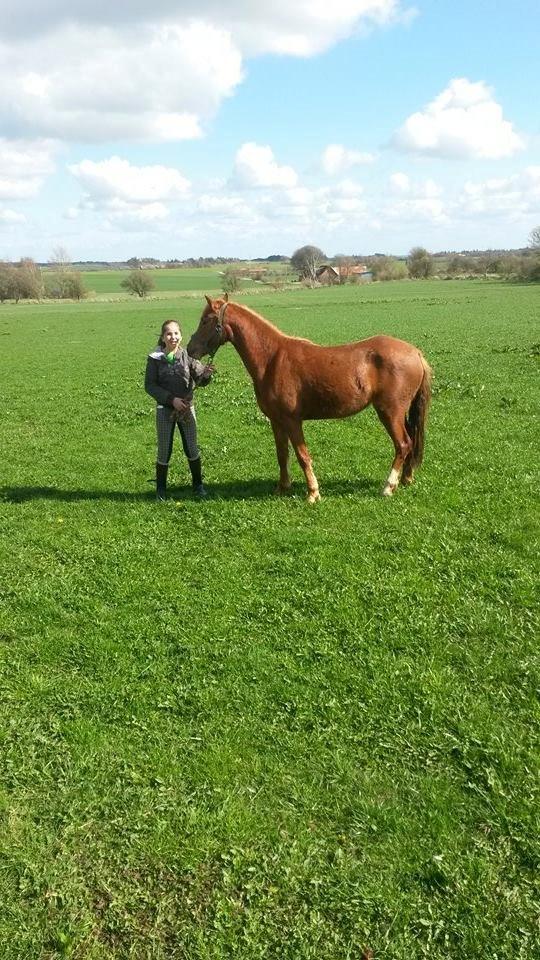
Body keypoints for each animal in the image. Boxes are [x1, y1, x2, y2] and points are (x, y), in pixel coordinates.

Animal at [188, 298, 432, 506]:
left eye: (206, 320)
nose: (190, 349)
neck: (272, 359)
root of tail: (416, 353)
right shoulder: (276, 421)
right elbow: (282, 454)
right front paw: (282, 487)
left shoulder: (292, 420)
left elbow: (302, 455)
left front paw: (313, 493)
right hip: (401, 413)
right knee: (411, 441)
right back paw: (406, 478)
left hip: (389, 412)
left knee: (403, 444)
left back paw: (388, 487)